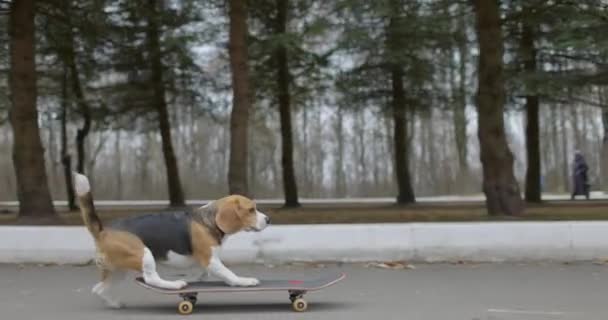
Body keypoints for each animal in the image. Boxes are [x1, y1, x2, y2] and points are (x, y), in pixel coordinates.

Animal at [73, 174, 268, 308]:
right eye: (251, 210)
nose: (268, 219)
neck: (209, 219)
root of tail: (103, 232)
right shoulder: (210, 260)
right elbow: (228, 273)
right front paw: (243, 281)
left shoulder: (206, 262)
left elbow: (203, 274)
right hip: (144, 254)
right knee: (151, 278)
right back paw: (173, 285)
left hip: (118, 270)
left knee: (98, 289)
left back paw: (114, 303)